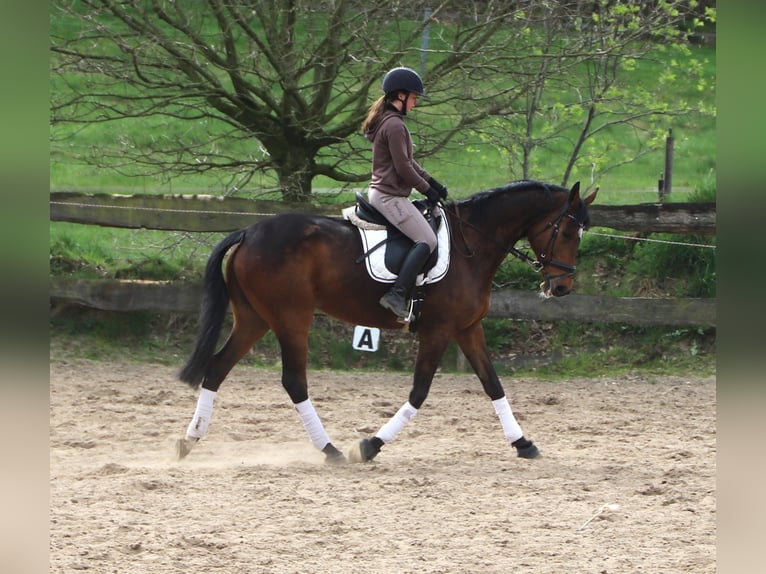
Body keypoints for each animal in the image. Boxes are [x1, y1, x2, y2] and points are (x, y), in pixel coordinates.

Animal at [176, 180, 597, 464]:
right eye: (567, 230)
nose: (562, 287)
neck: (472, 247)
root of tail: (249, 231)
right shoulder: (438, 330)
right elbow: (419, 392)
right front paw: (369, 445)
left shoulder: (467, 328)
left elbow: (493, 385)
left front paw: (523, 443)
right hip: (291, 318)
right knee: (294, 381)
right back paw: (331, 449)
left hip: (254, 318)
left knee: (217, 368)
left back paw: (188, 441)